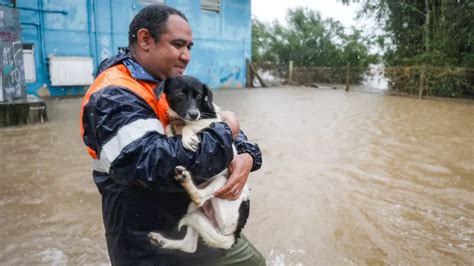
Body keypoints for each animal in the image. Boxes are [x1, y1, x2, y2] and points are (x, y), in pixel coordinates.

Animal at [147, 75, 252, 254]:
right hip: (194, 209)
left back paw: (185, 179)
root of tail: (235, 233)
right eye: (180, 94)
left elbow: (189, 126)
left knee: (199, 198)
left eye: (199, 96)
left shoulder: (211, 124)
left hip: (223, 183)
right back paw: (161, 241)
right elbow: (169, 126)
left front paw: (188, 137)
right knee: (189, 245)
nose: (194, 114)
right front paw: (170, 133)